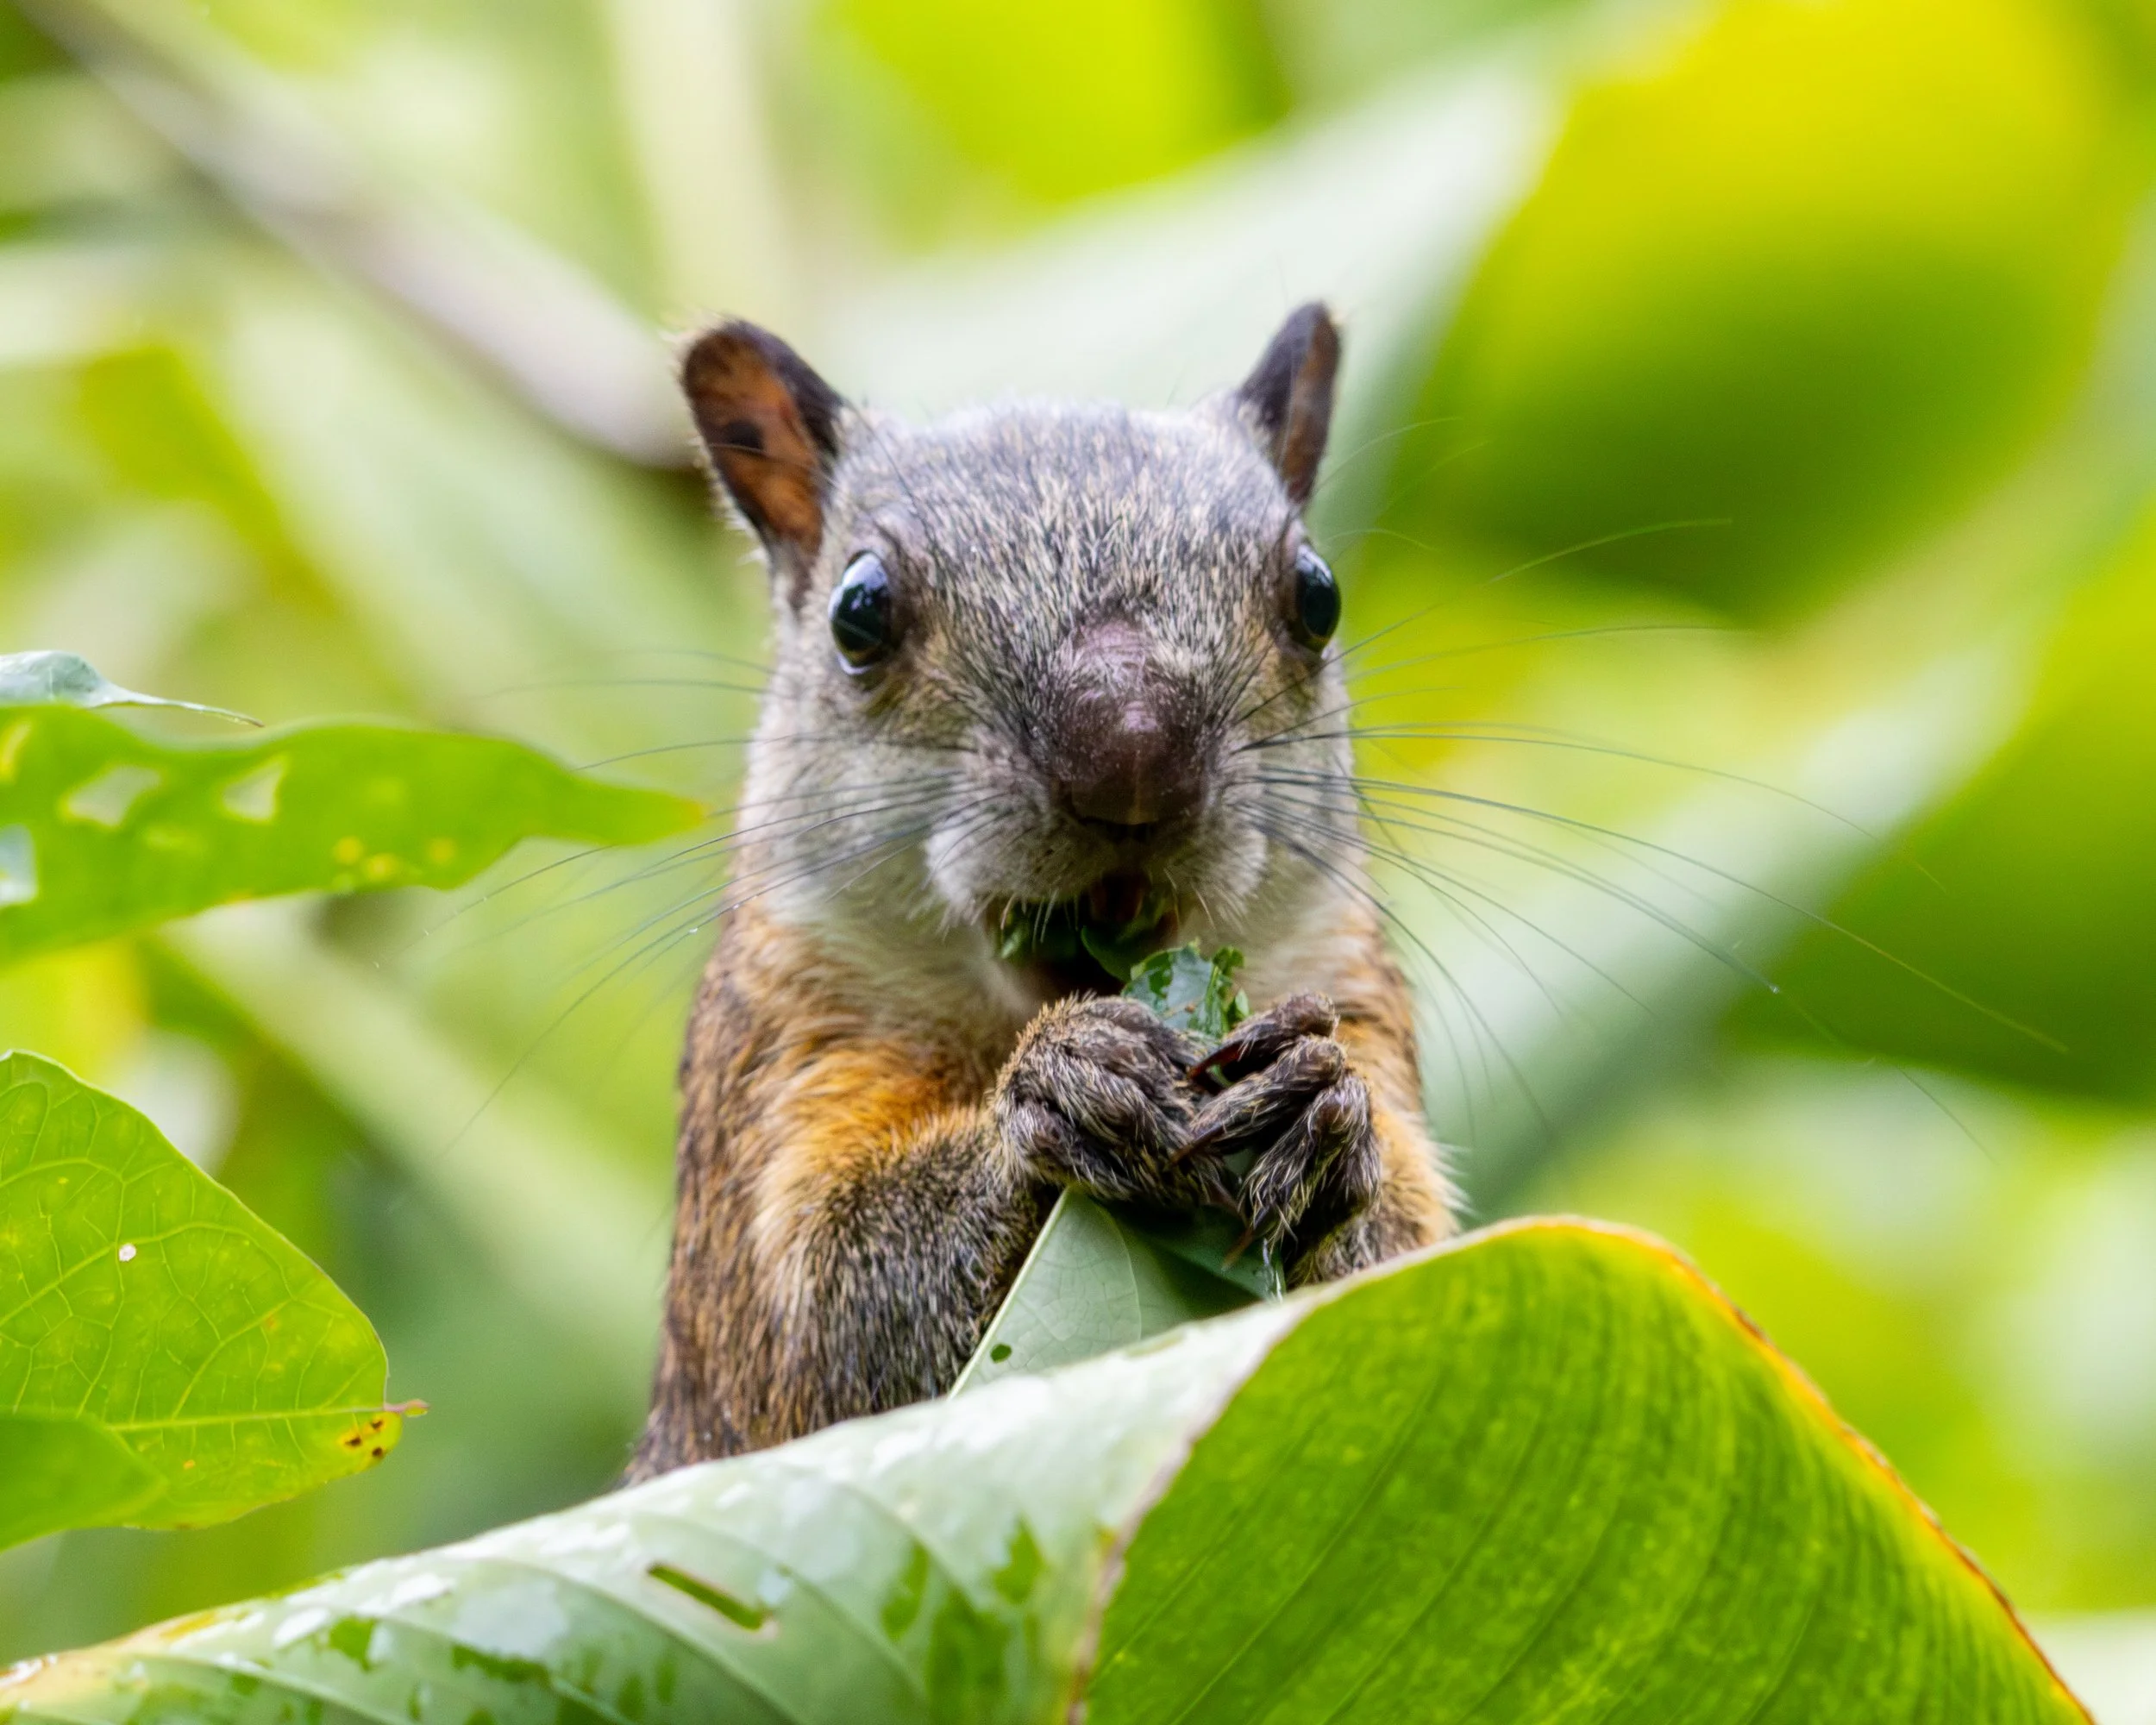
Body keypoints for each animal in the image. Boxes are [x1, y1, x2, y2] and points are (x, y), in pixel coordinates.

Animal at [629, 304, 1456, 1477]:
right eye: (857, 611)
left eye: (1317, 594)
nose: (1131, 753)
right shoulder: (764, 1077)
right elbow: (820, 1320)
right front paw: (1064, 1082)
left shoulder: (1354, 987)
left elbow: (1416, 1271)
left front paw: (1322, 1107)